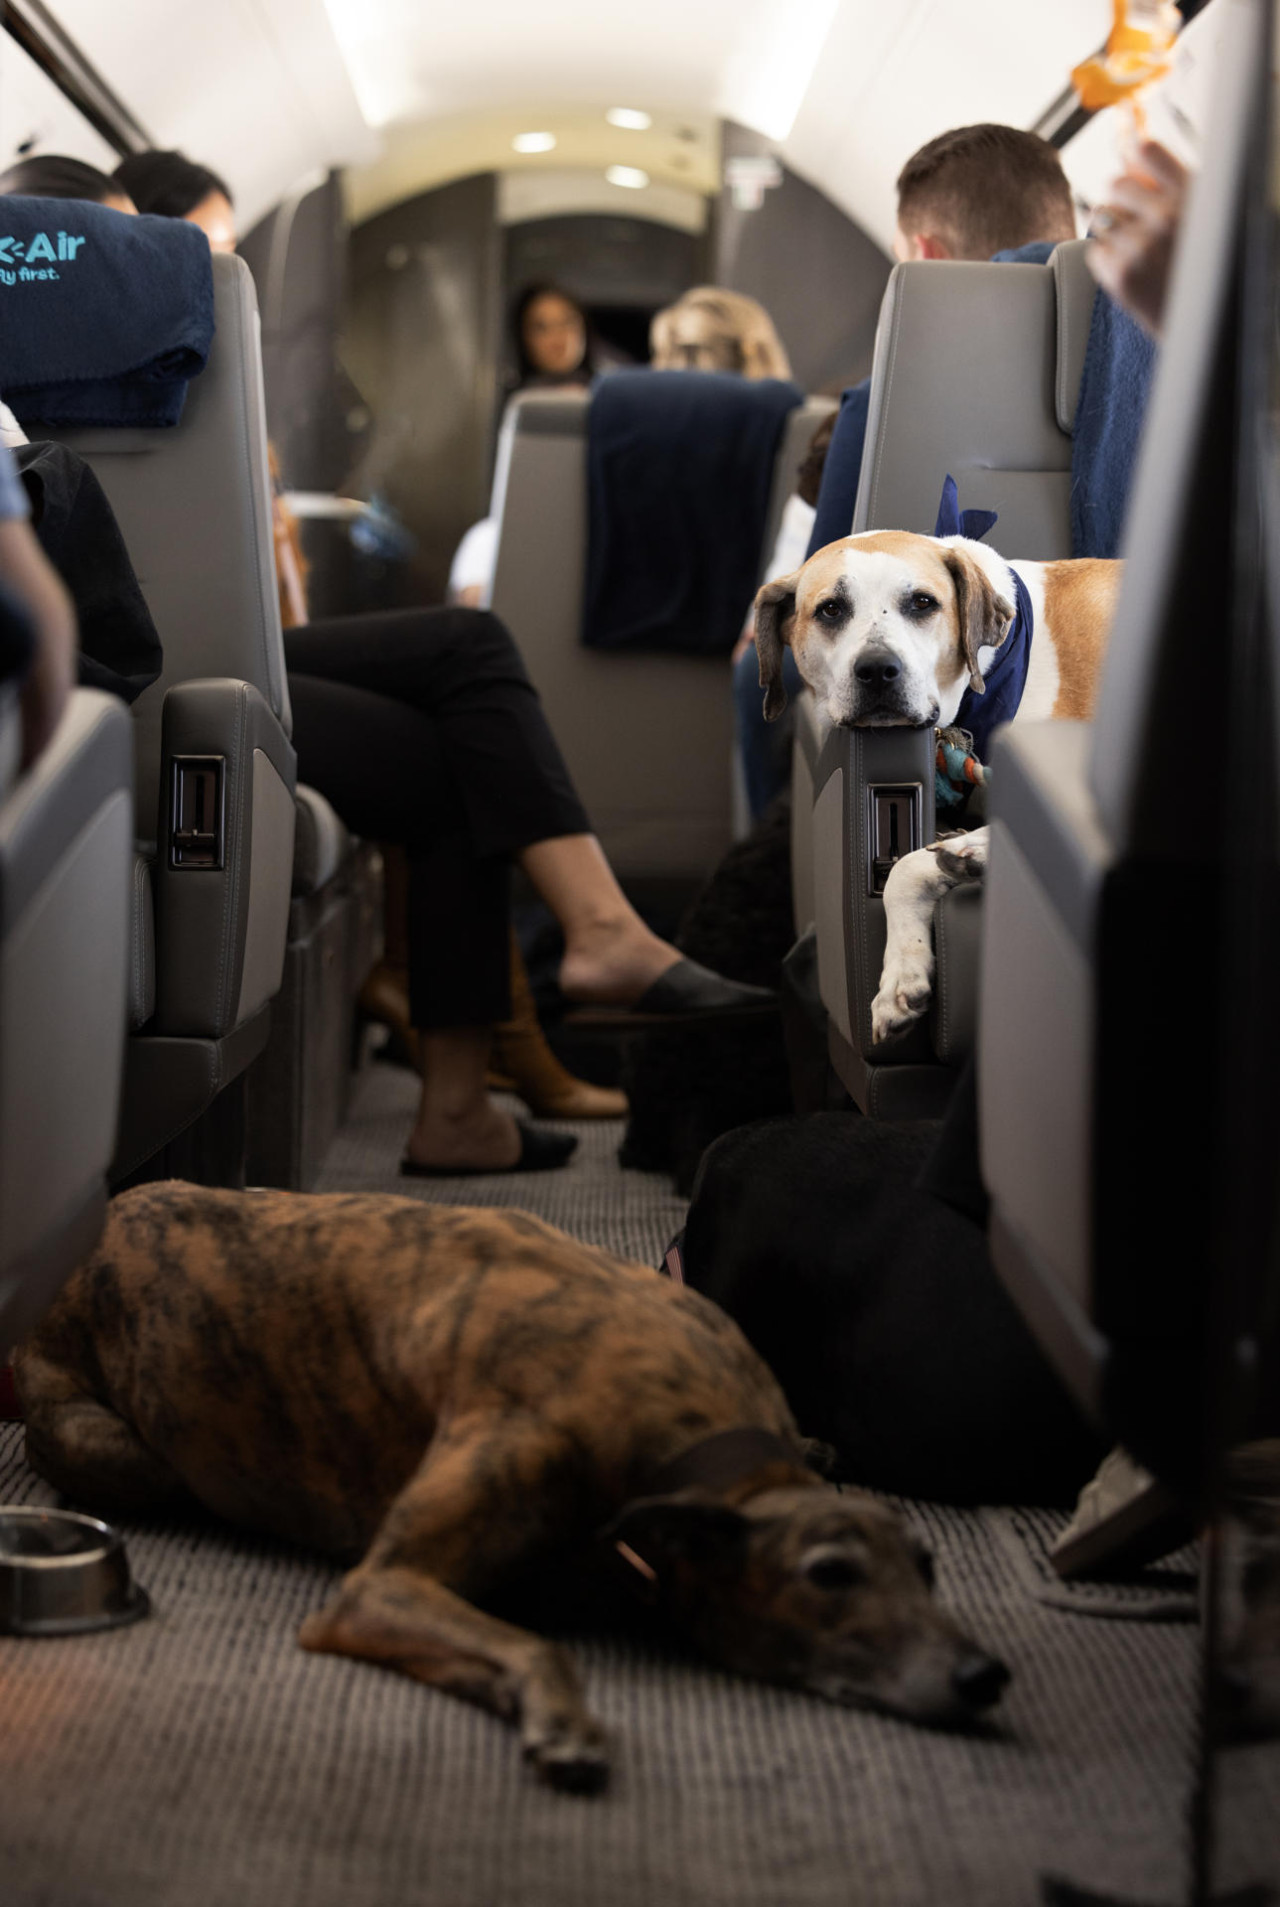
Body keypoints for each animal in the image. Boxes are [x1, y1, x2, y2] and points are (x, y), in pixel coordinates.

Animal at [10, 1182, 1014, 1792]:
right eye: (829, 1574)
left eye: (929, 1565)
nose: (987, 1674)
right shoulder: (382, 1585)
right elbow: (538, 1643)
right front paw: (563, 1721)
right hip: (124, 1451)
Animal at [763, 537, 1121, 1045]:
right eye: (831, 609)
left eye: (922, 603)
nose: (878, 670)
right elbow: (905, 871)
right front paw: (903, 973)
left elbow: (907, 866)